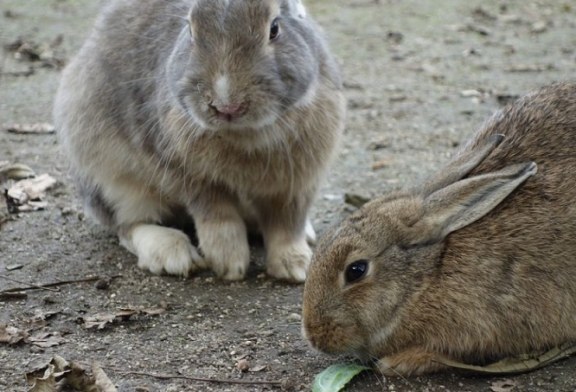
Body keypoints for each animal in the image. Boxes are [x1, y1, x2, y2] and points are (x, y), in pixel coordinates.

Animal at [54, 0, 344, 282]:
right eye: (191, 29)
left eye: (274, 29)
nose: (227, 106)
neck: (244, 134)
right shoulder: (192, 176)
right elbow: (217, 217)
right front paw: (229, 263)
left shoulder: (296, 184)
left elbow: (287, 224)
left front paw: (296, 267)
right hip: (111, 180)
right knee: (128, 225)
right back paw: (173, 254)